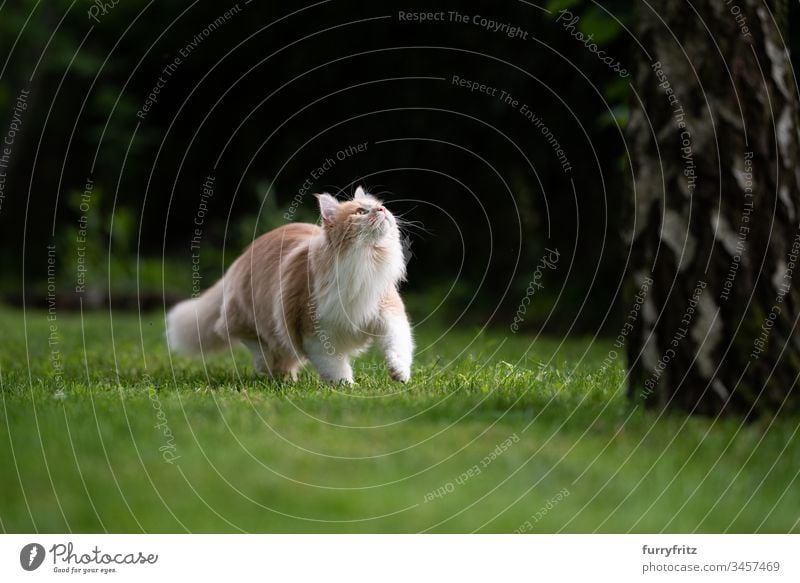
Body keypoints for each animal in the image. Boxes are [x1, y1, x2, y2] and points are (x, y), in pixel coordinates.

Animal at [163, 186, 412, 384]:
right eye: (361, 211)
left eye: (380, 206)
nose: (382, 211)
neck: (366, 262)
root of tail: (239, 260)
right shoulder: (314, 331)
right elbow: (335, 366)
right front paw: (346, 386)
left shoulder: (388, 314)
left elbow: (398, 347)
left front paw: (400, 374)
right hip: (253, 321)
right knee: (258, 350)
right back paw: (274, 373)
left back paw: (286, 378)